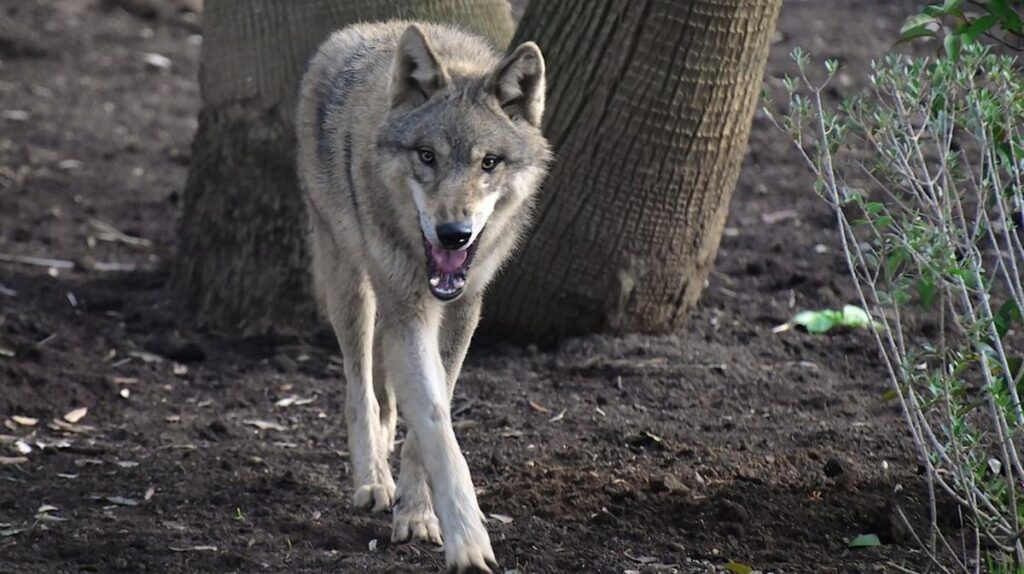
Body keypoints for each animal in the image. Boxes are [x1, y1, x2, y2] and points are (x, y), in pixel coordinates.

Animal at [296, 21, 550, 573]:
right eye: (427, 156)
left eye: (489, 162)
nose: (454, 234)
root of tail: (364, 30)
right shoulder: (407, 311)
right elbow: (434, 421)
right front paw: (468, 543)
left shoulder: (463, 312)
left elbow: (435, 412)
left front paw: (416, 514)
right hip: (350, 284)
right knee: (359, 388)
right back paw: (372, 481)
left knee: (385, 392)